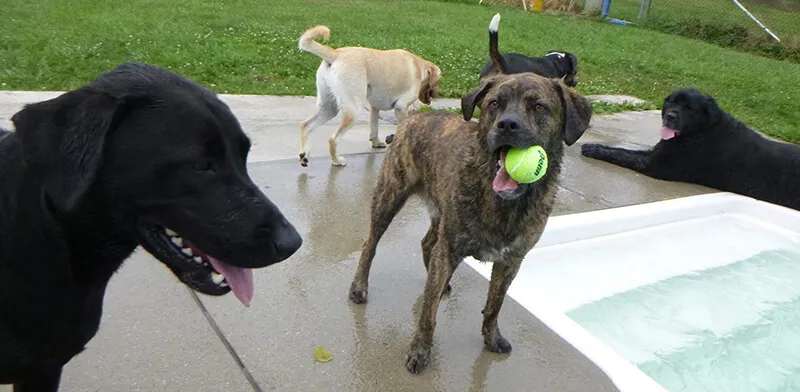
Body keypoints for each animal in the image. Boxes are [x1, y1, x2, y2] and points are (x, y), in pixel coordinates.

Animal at [296, 26, 440, 167]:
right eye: (438, 80)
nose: (437, 94)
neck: (418, 67)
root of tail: (335, 54)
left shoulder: (374, 107)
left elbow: (374, 127)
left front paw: (376, 142)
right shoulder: (401, 107)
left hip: (329, 107)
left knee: (306, 125)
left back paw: (304, 155)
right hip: (353, 110)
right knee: (333, 138)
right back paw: (336, 161)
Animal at [346, 72, 592, 374]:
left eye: (539, 107)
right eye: (495, 103)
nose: (508, 124)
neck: (503, 201)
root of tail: (414, 118)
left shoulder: (510, 262)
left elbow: (495, 304)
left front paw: (491, 337)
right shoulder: (450, 248)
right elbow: (428, 314)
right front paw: (420, 350)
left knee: (427, 243)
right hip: (390, 196)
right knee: (371, 243)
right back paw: (360, 286)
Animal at [580, 88, 800, 211]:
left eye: (689, 108)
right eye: (671, 101)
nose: (670, 115)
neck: (700, 130)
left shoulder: (657, 166)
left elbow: (620, 154)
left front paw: (592, 148)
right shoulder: (655, 154)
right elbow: (623, 150)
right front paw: (597, 146)